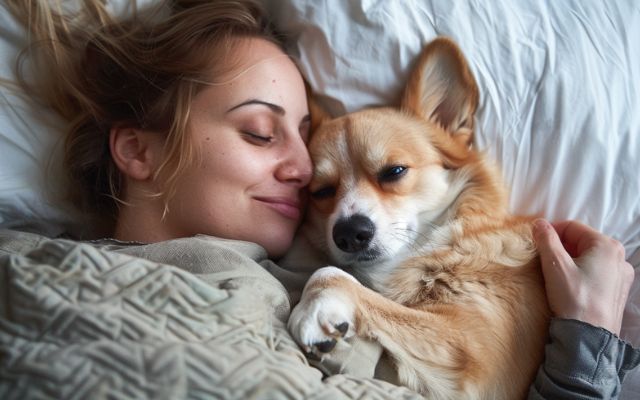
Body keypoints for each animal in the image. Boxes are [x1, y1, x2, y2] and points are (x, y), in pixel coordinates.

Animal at [284, 38, 552, 400]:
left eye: (394, 171)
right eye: (321, 191)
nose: (350, 234)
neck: (447, 238)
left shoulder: (469, 351)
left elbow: (331, 273)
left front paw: (312, 309)